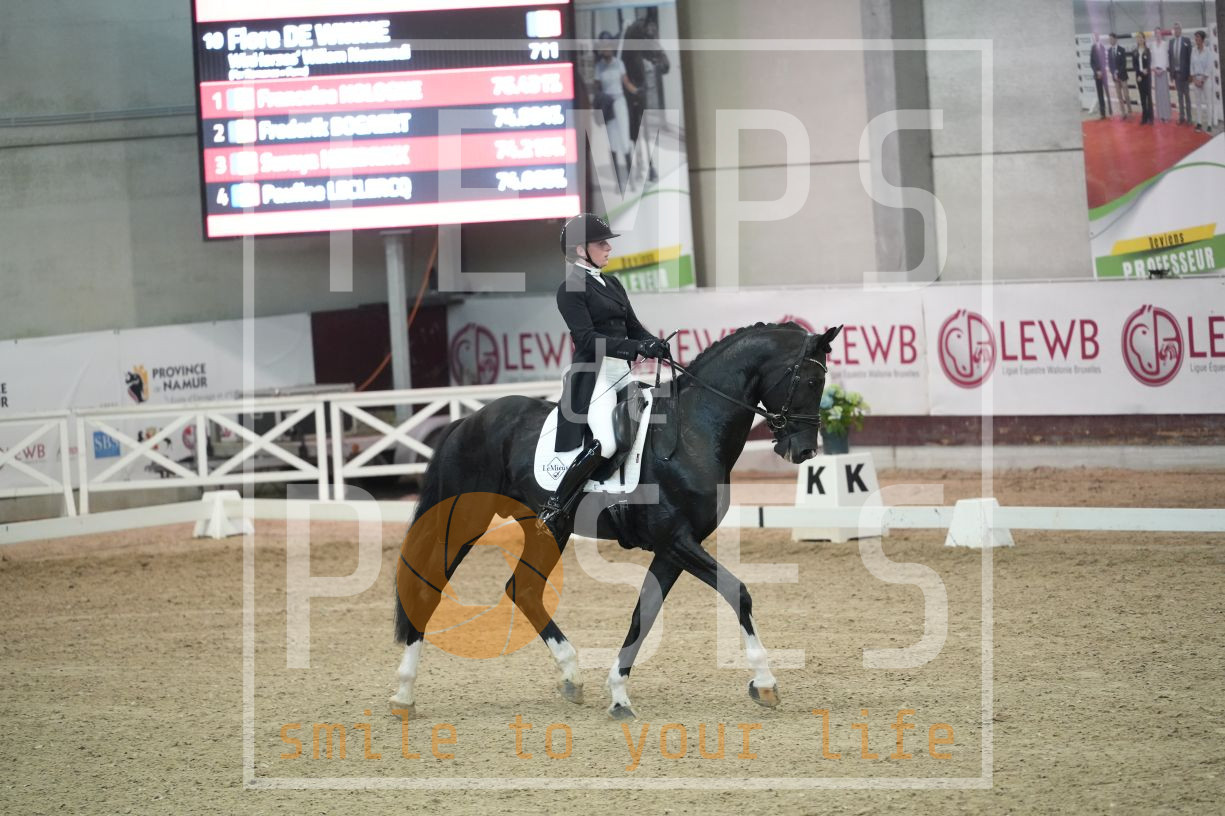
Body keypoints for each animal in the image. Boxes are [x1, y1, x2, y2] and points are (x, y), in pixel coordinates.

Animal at [391, 321, 842, 719]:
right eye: (808, 381)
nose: (803, 451)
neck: (692, 431)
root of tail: (466, 421)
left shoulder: (673, 549)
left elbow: (644, 613)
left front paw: (619, 695)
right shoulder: (677, 540)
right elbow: (738, 593)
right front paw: (765, 683)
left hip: (550, 528)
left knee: (524, 589)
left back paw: (572, 674)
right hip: (463, 521)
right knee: (430, 589)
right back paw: (403, 694)